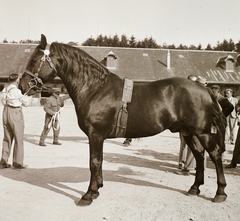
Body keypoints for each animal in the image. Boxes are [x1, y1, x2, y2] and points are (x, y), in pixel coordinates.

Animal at [20, 34, 227, 205]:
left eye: (35, 60)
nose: (22, 85)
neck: (95, 88)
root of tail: (204, 89)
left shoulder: (95, 135)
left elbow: (94, 162)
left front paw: (89, 194)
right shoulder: (98, 137)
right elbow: (99, 161)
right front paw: (97, 189)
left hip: (202, 132)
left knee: (214, 154)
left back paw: (220, 192)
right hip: (188, 132)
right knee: (199, 155)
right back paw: (195, 187)